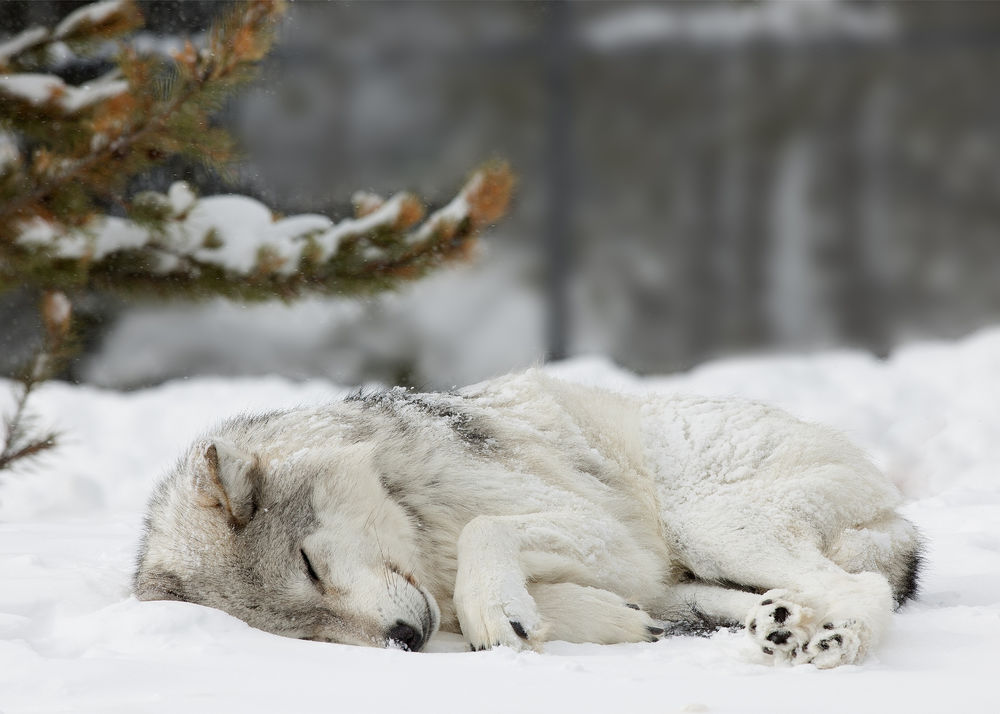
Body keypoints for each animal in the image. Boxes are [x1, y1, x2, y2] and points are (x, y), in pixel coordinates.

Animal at [135, 370, 920, 664]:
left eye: (309, 565)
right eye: (306, 633)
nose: (404, 640)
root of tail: (890, 503)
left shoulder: (606, 537)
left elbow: (485, 538)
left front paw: (494, 608)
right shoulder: (636, 571)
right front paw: (602, 619)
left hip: (712, 523)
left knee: (863, 589)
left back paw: (835, 641)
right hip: (705, 565)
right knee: (755, 599)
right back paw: (777, 624)